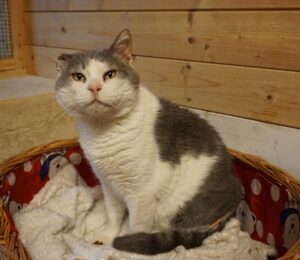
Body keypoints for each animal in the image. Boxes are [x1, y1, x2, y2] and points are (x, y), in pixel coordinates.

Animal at [55, 29, 243, 255]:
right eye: (78, 77)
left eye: (110, 74)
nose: (94, 87)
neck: (103, 132)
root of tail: (236, 190)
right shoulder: (108, 184)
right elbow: (113, 214)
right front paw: (107, 237)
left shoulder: (141, 193)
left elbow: (136, 225)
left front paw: (125, 249)